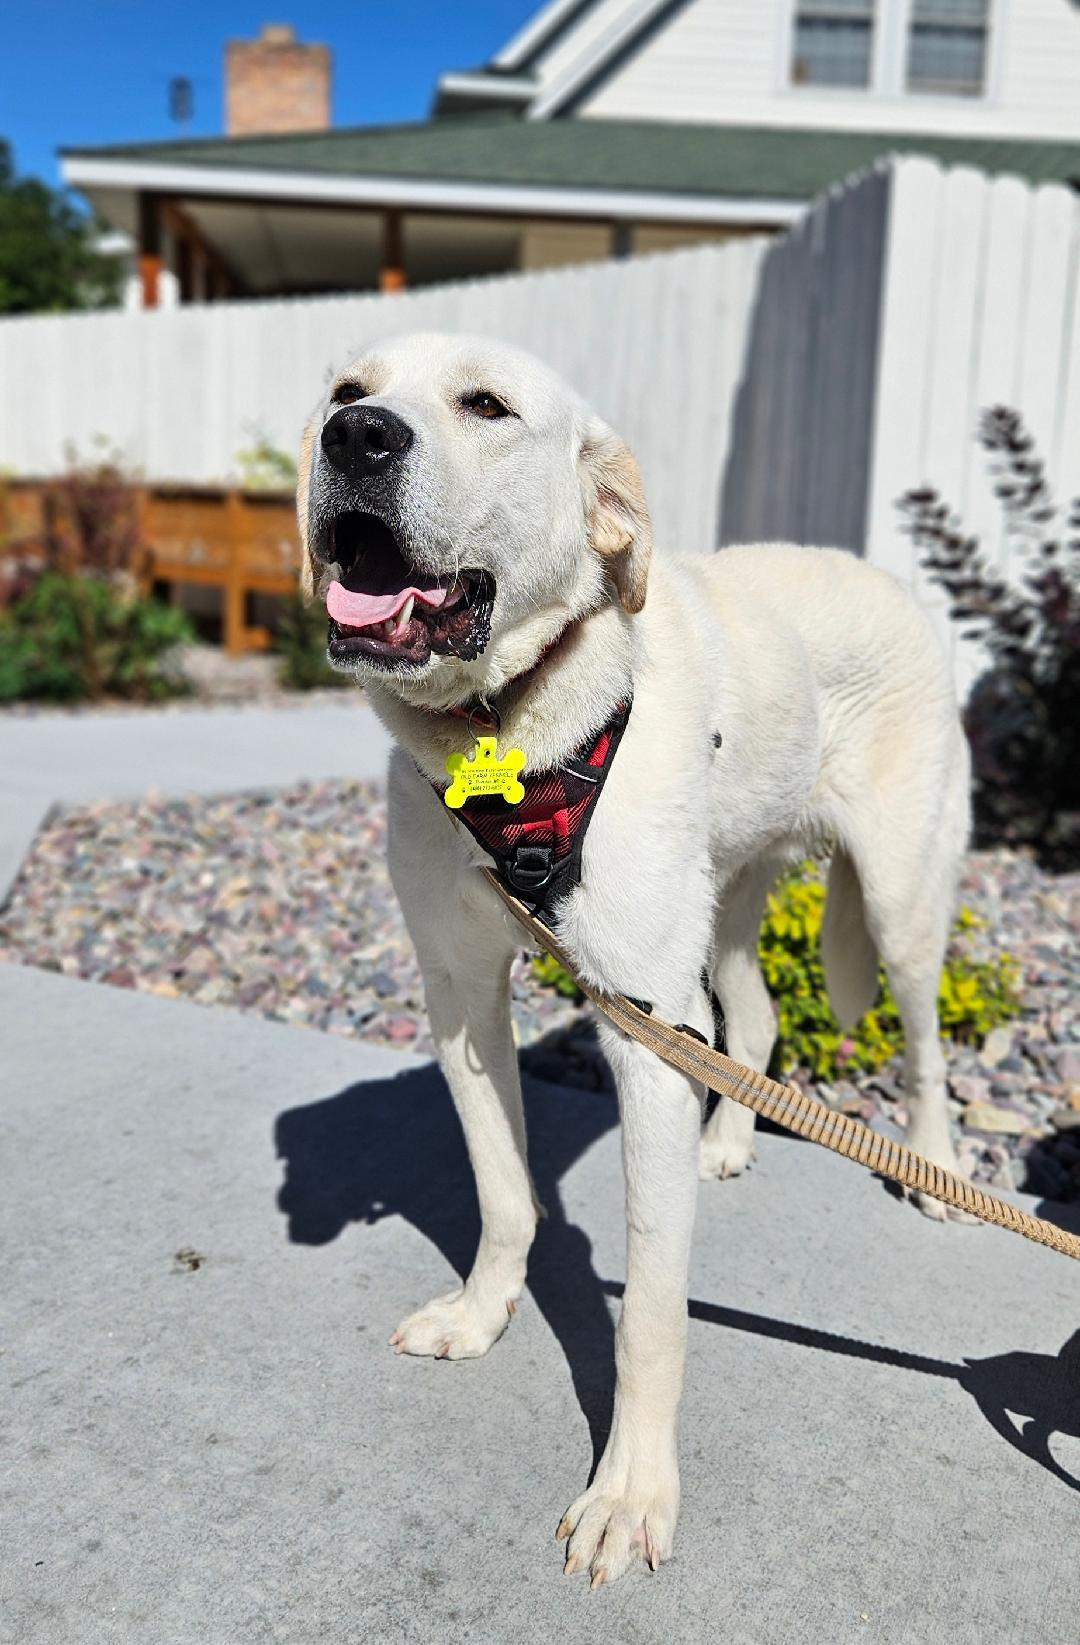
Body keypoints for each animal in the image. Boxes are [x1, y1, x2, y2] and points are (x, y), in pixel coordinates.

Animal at [294, 330, 966, 1579]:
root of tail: (884, 580)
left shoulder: (644, 1035)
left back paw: (936, 1167)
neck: (503, 735)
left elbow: (649, 1309)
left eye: (486, 406)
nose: (353, 437)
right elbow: (504, 1195)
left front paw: (630, 1493)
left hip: (901, 901)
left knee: (924, 1043)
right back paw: (730, 1144)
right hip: (727, 900)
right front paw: (484, 1313)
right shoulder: (463, 998)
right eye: (347, 393)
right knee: (755, 1022)